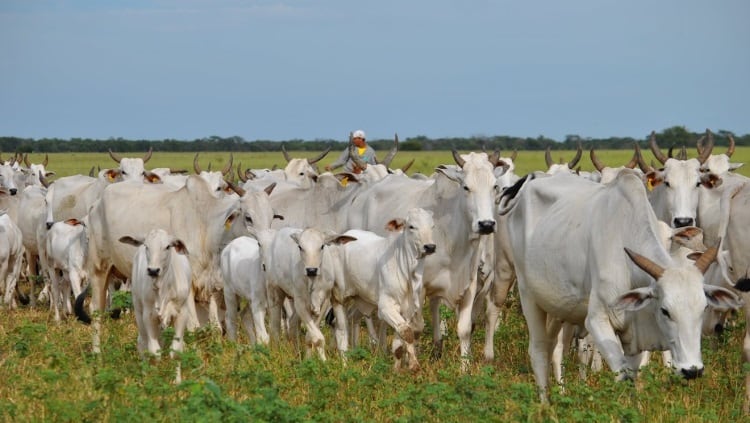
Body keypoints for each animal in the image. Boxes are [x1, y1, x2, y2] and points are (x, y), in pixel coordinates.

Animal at [119, 229, 192, 384]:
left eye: (167, 246)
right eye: (146, 246)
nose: (153, 270)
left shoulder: (182, 313)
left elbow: (176, 350)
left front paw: (177, 382)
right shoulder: (149, 316)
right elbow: (154, 353)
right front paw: (154, 380)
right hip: (138, 310)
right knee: (143, 343)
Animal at [498, 170, 741, 401]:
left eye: (703, 308)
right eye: (665, 311)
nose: (692, 370)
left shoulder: (635, 336)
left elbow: (635, 376)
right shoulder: (597, 320)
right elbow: (622, 375)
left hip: (557, 307)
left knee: (554, 349)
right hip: (528, 295)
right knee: (539, 352)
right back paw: (546, 406)